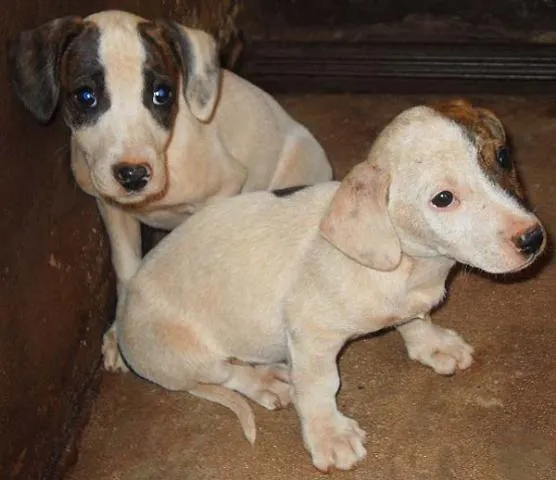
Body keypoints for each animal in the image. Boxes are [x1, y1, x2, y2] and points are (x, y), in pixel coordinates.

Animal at [7, 9, 330, 374]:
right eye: (85, 97)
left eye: (161, 94)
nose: (133, 174)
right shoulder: (111, 207)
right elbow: (126, 267)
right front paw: (121, 333)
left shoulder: (224, 186)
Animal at [117, 98, 548, 472]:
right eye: (443, 198)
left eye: (503, 157)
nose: (533, 239)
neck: (411, 265)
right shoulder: (311, 335)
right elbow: (319, 387)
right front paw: (329, 435)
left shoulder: (410, 303)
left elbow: (415, 319)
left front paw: (431, 345)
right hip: (187, 352)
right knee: (224, 373)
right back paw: (266, 380)